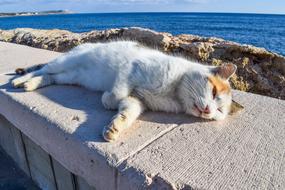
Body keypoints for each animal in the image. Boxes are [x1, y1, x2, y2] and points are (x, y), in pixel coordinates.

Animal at [11, 40, 235, 142]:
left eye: (219, 112)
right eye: (213, 92)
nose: (208, 110)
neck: (174, 93)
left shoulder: (137, 100)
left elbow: (128, 111)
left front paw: (114, 128)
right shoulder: (131, 68)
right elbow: (118, 91)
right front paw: (108, 100)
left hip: (70, 76)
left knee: (50, 77)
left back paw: (30, 84)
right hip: (66, 61)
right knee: (42, 69)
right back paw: (20, 80)